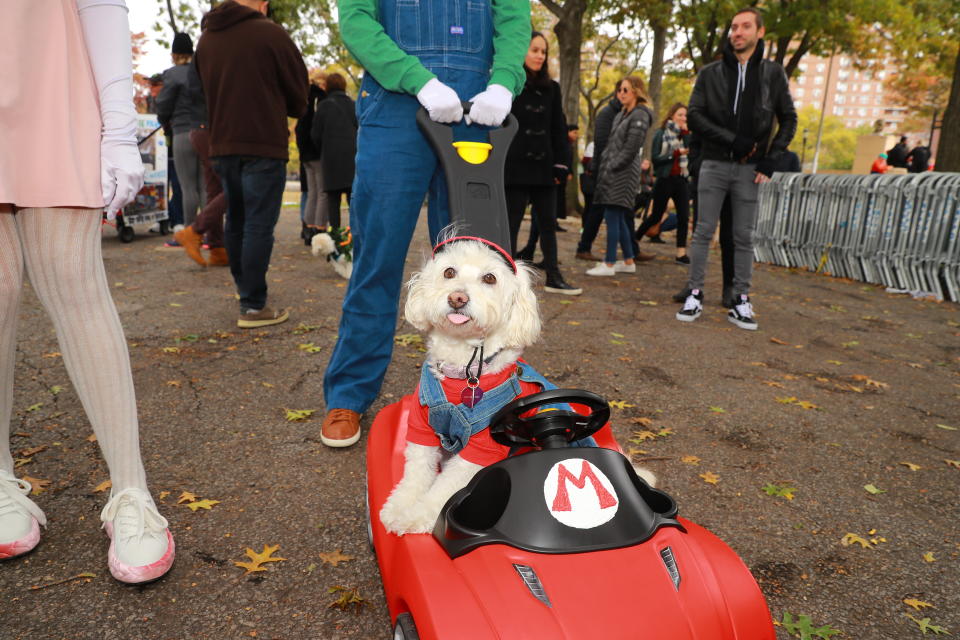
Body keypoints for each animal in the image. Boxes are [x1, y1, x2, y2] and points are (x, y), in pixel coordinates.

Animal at [378, 235, 656, 536]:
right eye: (449, 272)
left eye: (489, 278)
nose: (457, 298)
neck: (462, 372)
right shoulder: (421, 427)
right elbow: (416, 471)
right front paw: (398, 506)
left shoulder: (481, 449)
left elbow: (444, 488)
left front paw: (416, 516)